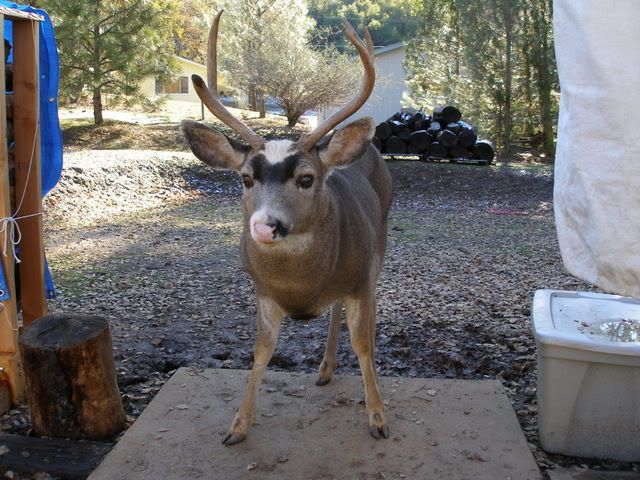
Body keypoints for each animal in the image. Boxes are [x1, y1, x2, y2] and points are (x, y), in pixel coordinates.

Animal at [179, 11, 390, 446]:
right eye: (245, 178)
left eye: (306, 179)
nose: (265, 226)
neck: (302, 285)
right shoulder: (261, 289)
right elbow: (261, 350)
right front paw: (238, 425)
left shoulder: (358, 276)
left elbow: (362, 343)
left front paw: (377, 415)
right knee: (336, 310)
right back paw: (325, 369)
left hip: (380, 241)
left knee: (369, 310)